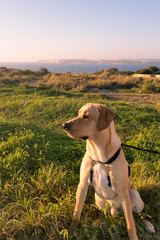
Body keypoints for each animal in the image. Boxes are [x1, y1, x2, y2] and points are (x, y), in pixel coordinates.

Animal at [62, 102, 155, 239]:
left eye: (87, 116)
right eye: (78, 114)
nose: (64, 125)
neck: (99, 156)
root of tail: (116, 211)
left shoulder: (123, 192)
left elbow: (130, 224)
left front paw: (134, 237)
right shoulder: (82, 185)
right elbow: (76, 212)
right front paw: (70, 231)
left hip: (134, 197)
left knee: (138, 215)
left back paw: (149, 225)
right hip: (99, 198)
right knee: (104, 214)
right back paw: (97, 222)